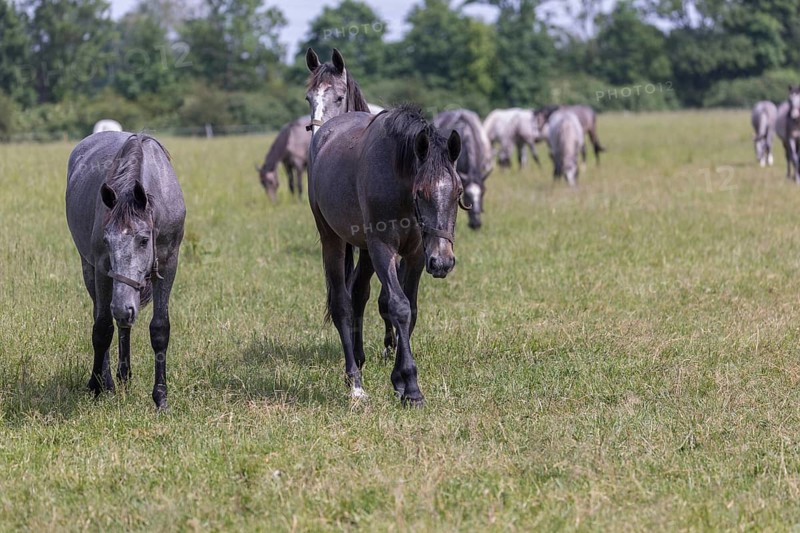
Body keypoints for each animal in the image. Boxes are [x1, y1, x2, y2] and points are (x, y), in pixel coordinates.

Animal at [66, 132, 185, 410]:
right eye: (107, 241)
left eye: (143, 240)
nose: (122, 308)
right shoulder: (101, 267)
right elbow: (101, 328)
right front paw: (97, 386)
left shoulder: (168, 265)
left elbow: (160, 329)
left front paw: (160, 396)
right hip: (90, 271)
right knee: (105, 318)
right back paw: (109, 379)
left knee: (123, 325)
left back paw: (124, 375)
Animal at [307, 105, 464, 406]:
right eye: (420, 191)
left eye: (458, 191)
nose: (442, 261)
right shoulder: (383, 249)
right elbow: (398, 307)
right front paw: (412, 387)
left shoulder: (415, 256)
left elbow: (410, 310)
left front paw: (399, 382)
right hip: (332, 239)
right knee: (342, 305)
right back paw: (355, 383)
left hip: (365, 251)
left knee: (358, 293)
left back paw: (359, 358)